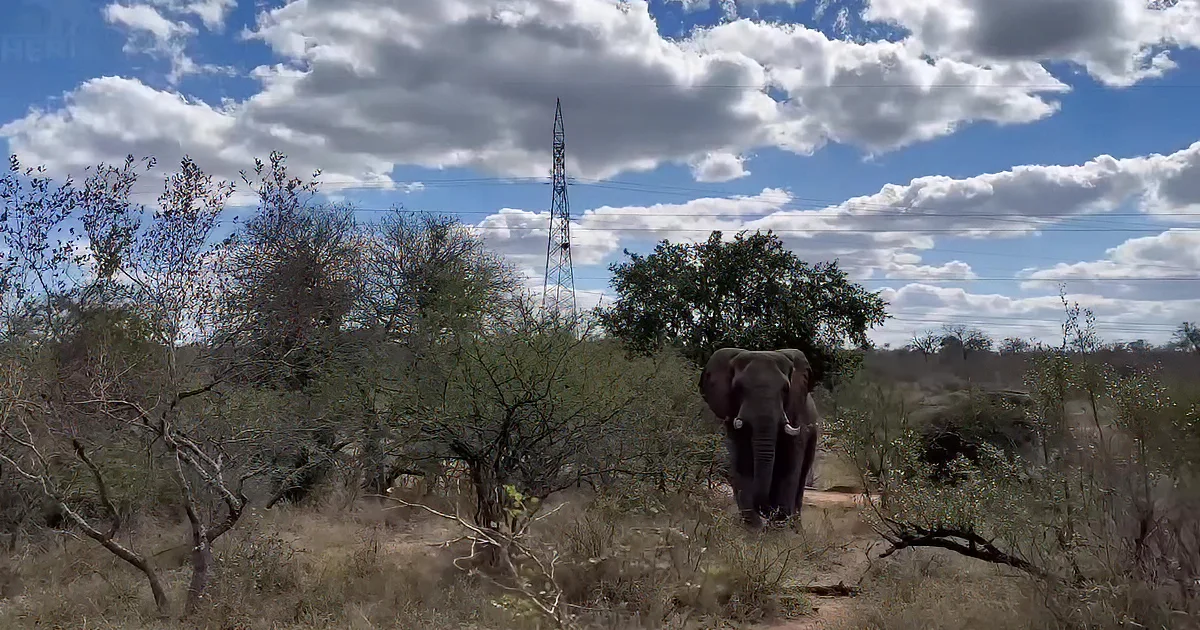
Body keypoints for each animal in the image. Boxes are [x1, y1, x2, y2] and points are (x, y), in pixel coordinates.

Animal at [699, 347, 820, 529]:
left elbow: (789, 465)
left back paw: (794, 526)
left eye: (785, 389)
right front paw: (752, 527)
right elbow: (742, 462)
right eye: (738, 389)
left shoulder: (796, 415)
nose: (767, 511)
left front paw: (779, 528)